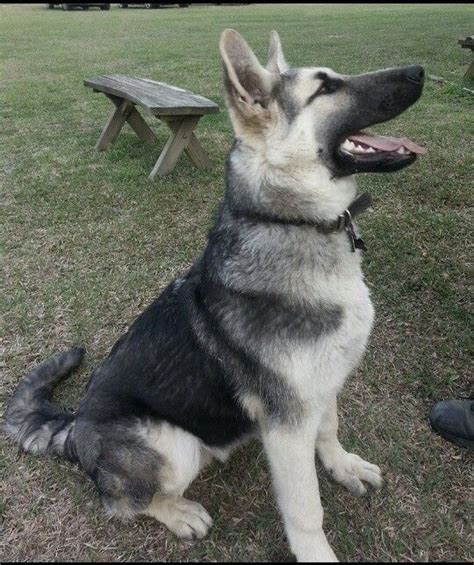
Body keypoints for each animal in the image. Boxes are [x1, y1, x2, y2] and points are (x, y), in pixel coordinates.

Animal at [4, 29, 426, 560]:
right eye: (326, 87)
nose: (420, 71)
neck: (289, 222)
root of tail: (75, 428)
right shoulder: (287, 428)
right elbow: (306, 509)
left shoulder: (322, 385)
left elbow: (328, 430)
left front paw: (343, 466)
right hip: (173, 448)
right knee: (120, 501)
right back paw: (178, 513)